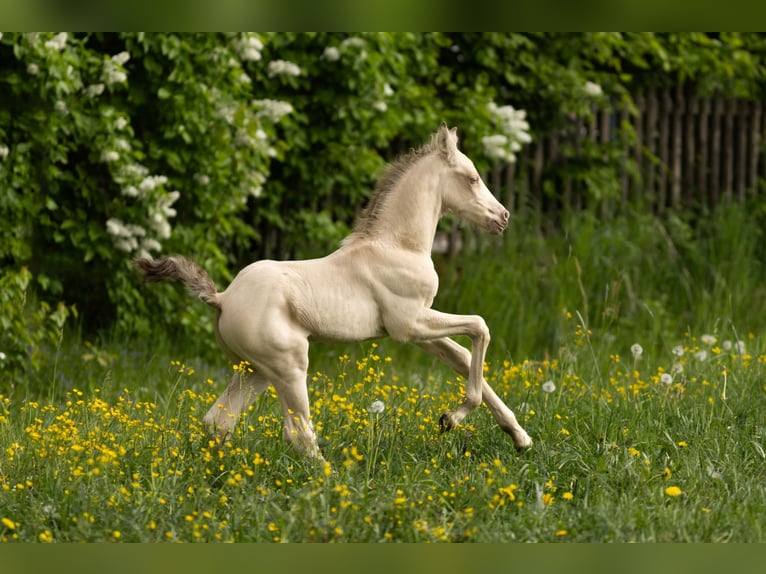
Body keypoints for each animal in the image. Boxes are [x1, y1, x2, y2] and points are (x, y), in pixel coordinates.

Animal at [135, 123, 532, 462]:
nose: (503, 217)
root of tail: (222, 298)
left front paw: (520, 438)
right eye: (472, 178)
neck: (397, 246)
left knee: (218, 422)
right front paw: (451, 418)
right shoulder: (409, 325)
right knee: (297, 433)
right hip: (289, 366)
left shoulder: (420, 328)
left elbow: (463, 357)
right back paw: (336, 485)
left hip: (255, 371)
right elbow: (480, 326)